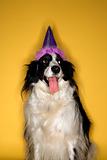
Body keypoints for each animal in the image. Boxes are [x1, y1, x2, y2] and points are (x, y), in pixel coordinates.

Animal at [22, 26, 93, 160]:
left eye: (60, 62)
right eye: (44, 61)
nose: (56, 68)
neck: (51, 99)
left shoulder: (71, 136)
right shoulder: (36, 136)